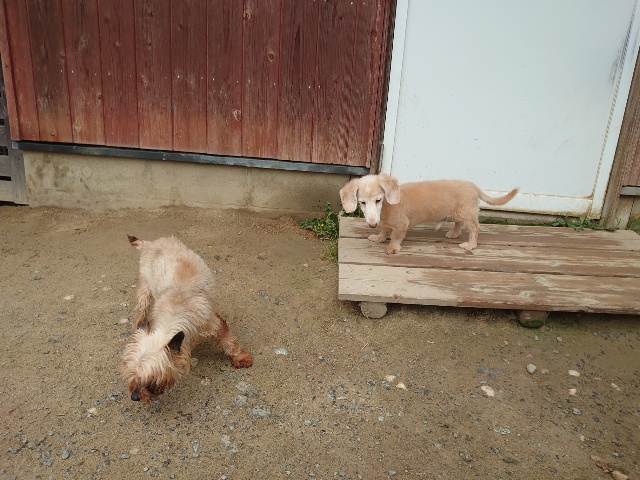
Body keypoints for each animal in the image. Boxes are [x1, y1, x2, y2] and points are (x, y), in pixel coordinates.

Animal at [122, 235, 252, 402]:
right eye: (132, 377)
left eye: (151, 381)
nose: (134, 397)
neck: (175, 312)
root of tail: (150, 244)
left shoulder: (213, 324)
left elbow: (229, 342)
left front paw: (241, 358)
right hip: (146, 288)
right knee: (140, 313)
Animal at [340, 174, 518, 253]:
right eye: (362, 202)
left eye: (378, 200)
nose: (371, 224)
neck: (387, 207)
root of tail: (473, 185)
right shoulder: (384, 223)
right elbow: (384, 230)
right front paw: (379, 238)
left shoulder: (402, 225)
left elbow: (396, 236)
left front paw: (392, 248)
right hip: (459, 212)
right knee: (458, 223)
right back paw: (454, 234)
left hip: (467, 213)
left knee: (475, 228)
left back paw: (470, 245)